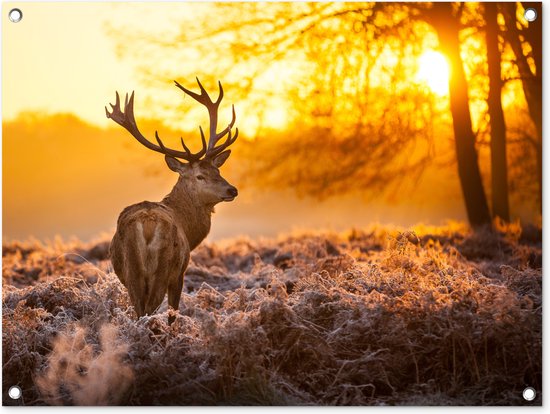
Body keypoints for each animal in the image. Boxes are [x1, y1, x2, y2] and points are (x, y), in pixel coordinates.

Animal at [105, 78, 239, 324]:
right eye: (200, 176)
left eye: (217, 170)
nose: (232, 189)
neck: (189, 229)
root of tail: (147, 224)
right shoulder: (180, 274)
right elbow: (173, 314)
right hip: (163, 268)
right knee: (149, 310)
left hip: (131, 272)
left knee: (139, 311)